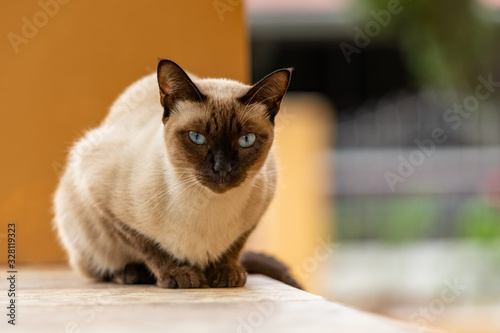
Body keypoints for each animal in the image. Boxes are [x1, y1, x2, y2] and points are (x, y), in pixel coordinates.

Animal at [53, 59, 300, 288]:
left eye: (246, 140)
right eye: (196, 137)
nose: (222, 168)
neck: (207, 205)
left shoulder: (259, 207)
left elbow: (234, 247)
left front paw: (226, 273)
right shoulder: (102, 200)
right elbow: (150, 247)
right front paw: (179, 274)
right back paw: (130, 274)